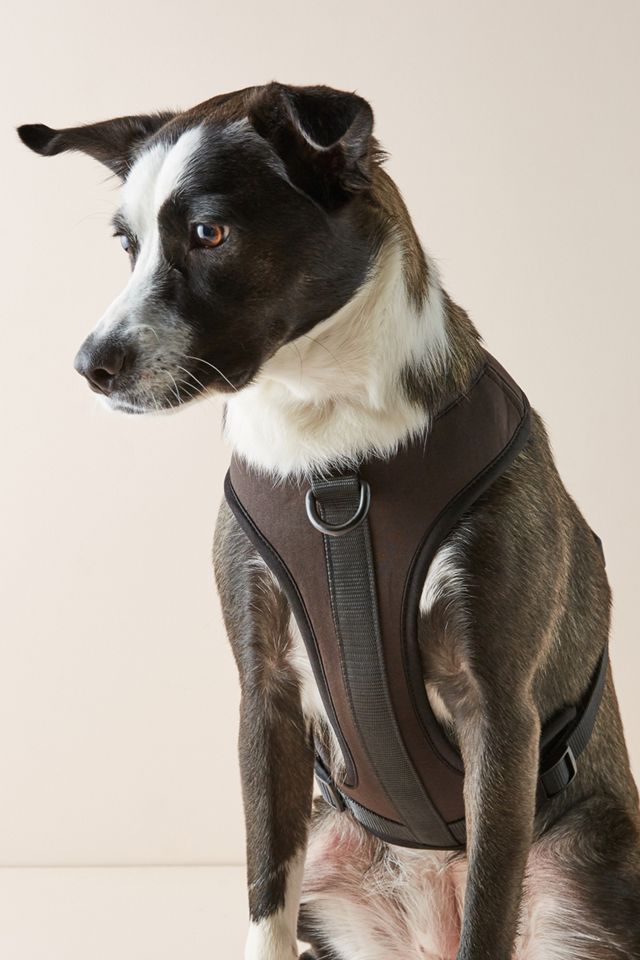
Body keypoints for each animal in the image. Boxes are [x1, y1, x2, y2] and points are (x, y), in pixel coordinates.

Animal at [18, 83, 640, 959]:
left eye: (208, 233)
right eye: (128, 244)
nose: (90, 366)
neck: (332, 449)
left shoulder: (499, 712)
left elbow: (490, 906)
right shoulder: (266, 694)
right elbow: (263, 897)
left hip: (590, 867)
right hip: (328, 851)